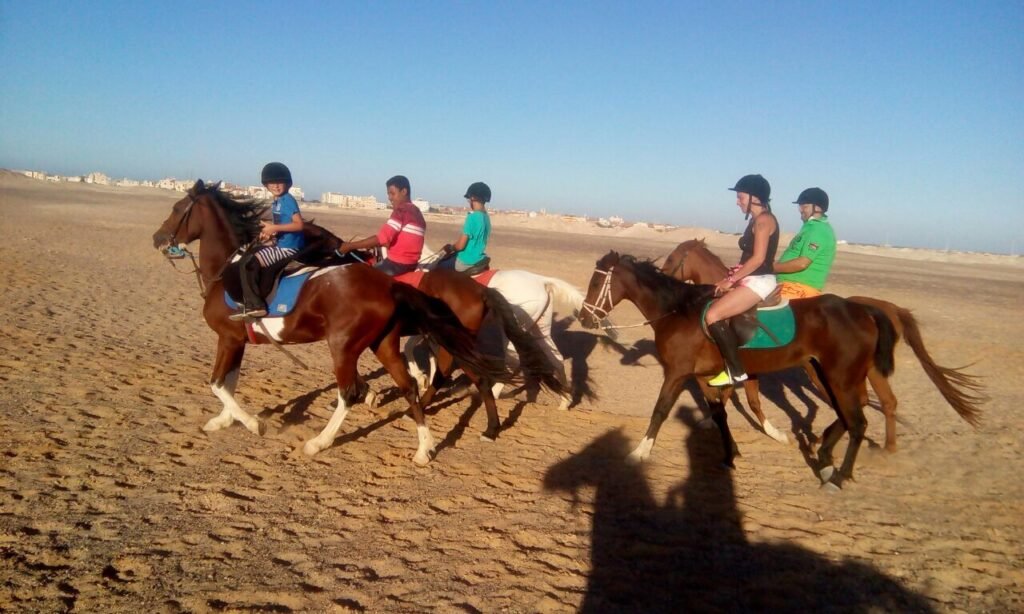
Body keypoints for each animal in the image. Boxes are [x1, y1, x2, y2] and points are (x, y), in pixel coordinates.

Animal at [149, 181, 509, 464]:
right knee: (411, 386)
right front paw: (223, 421)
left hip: (345, 346)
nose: (158, 238)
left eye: (178, 208)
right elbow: (229, 382)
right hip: (384, 343)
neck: (227, 271)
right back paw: (426, 448)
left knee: (350, 393)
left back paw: (320, 442)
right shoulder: (237, 341)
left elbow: (217, 383)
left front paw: (253, 424)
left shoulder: (228, 338)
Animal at [581, 250, 901, 489]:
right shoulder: (703, 376)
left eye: (596, 284)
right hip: (826, 374)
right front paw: (730, 454)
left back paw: (837, 475)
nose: (584, 317)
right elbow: (719, 413)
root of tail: (862, 310)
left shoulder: (677, 373)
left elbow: (661, 409)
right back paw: (823, 456)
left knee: (857, 422)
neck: (679, 312)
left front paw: (640, 452)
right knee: (848, 414)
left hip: (839, 378)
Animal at [659, 239, 987, 450]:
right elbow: (735, 394)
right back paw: (884, 447)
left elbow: (739, 395)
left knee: (864, 402)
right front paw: (710, 419)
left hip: (841, 371)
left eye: (672, 258)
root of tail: (883, 309)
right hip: (860, 371)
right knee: (885, 402)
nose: (661, 274)